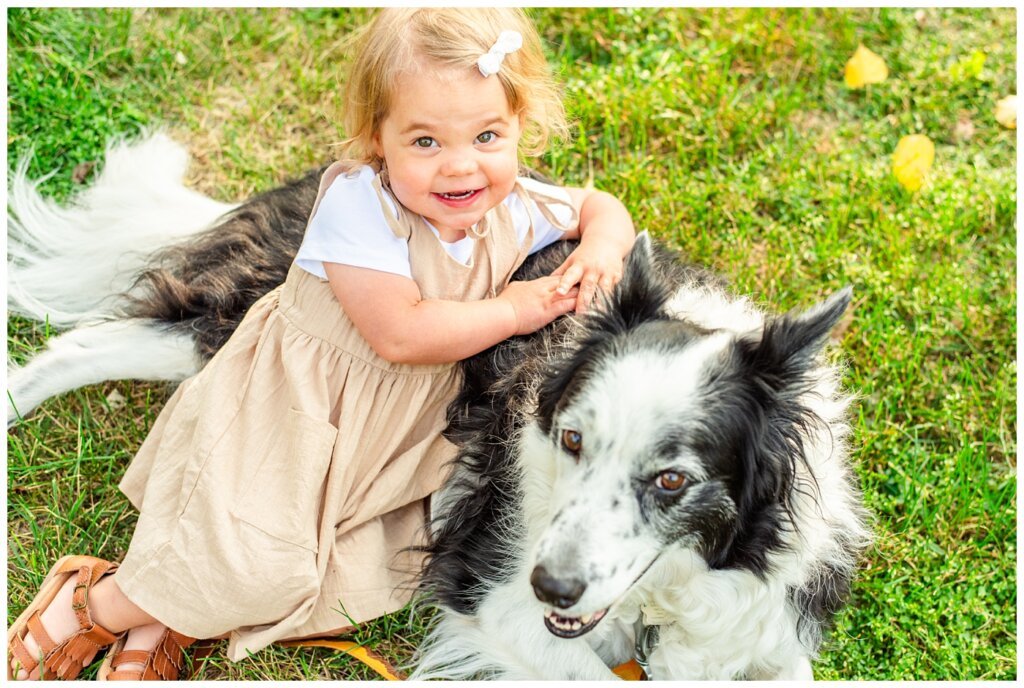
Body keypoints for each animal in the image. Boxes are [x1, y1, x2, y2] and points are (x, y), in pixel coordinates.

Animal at [8, 133, 872, 675]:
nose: (551, 587)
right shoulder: (485, 588)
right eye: (571, 441)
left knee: (92, 343)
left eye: (671, 481)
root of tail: (339, 179)